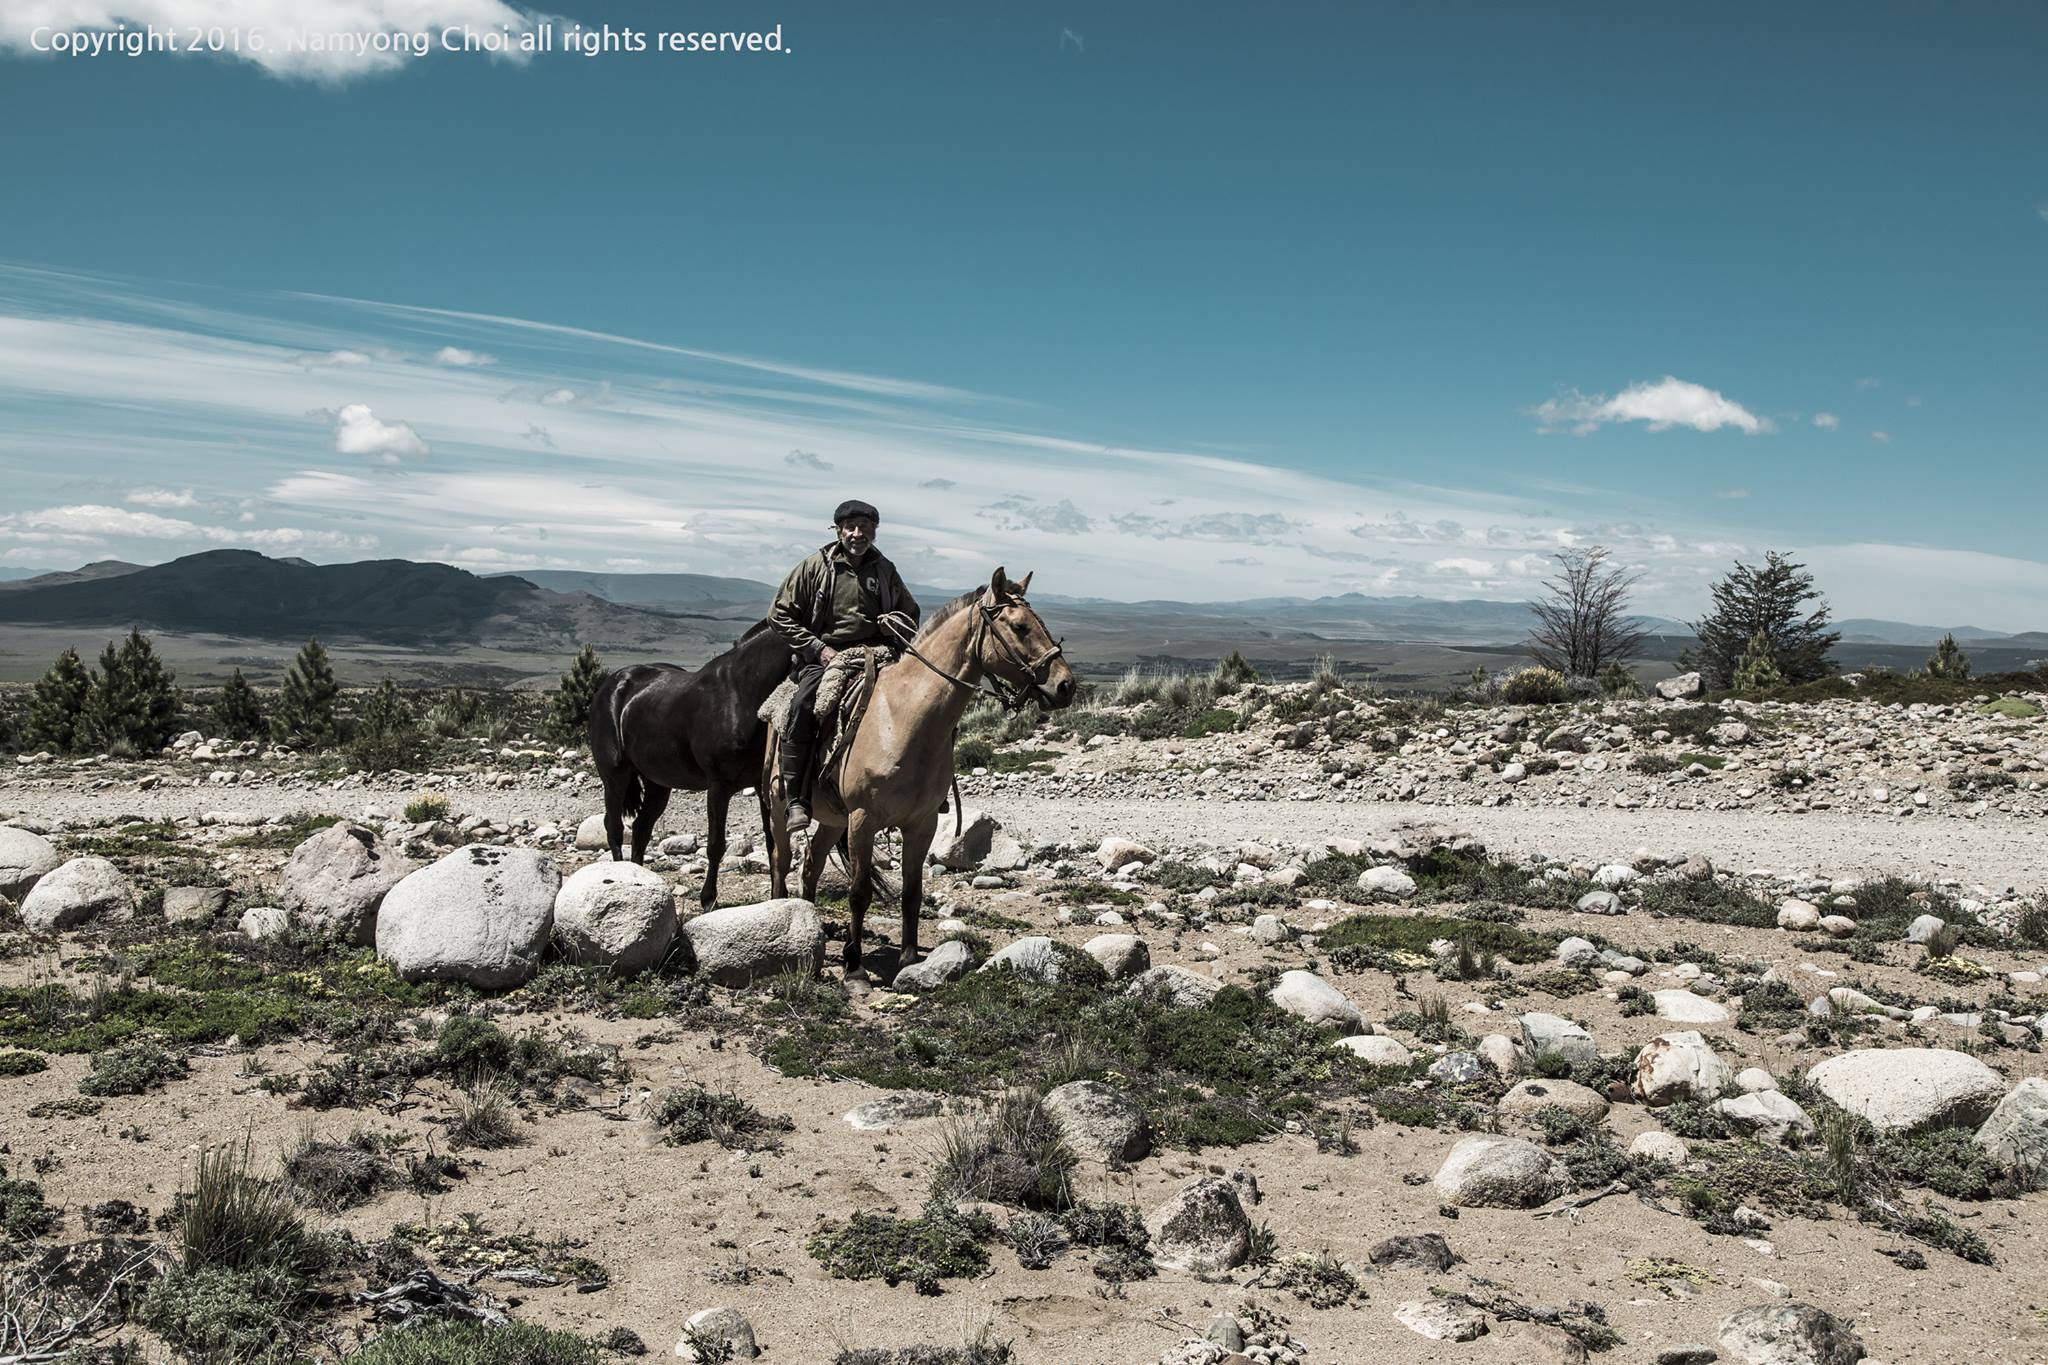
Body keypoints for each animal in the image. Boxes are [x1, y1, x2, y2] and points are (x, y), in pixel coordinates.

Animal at [593, 622, 790, 908]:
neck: (741, 694)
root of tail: (611, 685)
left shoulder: (760, 784)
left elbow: (772, 840)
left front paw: (778, 897)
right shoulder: (719, 786)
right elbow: (716, 844)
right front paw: (708, 899)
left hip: (658, 784)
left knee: (641, 829)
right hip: (615, 777)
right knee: (615, 828)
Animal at [770, 568, 1081, 982]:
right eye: (1019, 627)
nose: (1066, 686)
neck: (902, 720)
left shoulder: (922, 823)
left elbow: (911, 891)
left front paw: (908, 958)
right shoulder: (863, 819)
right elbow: (859, 892)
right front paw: (854, 966)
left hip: (834, 820)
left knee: (810, 866)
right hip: (781, 808)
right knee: (781, 862)